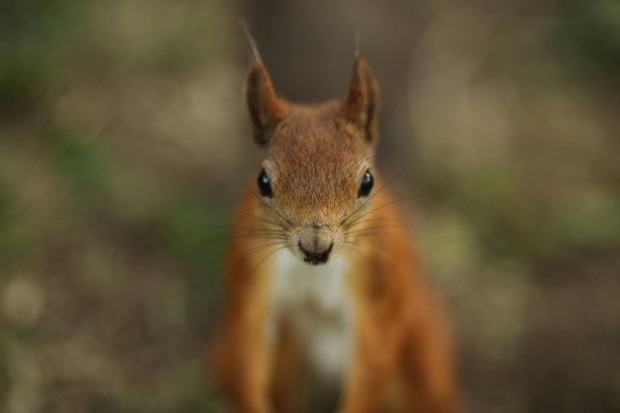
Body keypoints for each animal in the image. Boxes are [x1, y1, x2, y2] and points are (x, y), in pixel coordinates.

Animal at [211, 39, 458, 412]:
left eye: (368, 181)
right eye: (262, 181)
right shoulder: (249, 272)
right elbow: (246, 341)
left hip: (423, 349)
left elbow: (374, 356)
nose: (316, 248)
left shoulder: (380, 283)